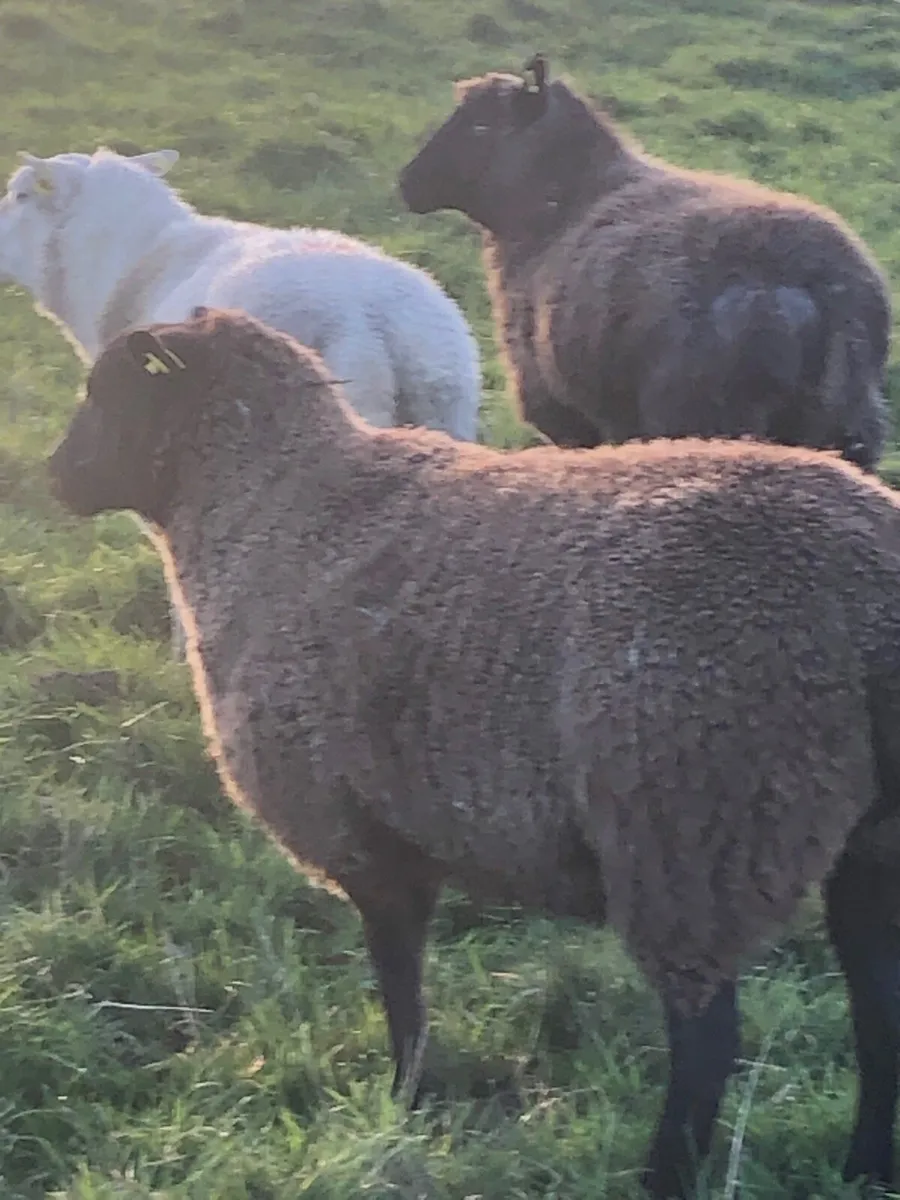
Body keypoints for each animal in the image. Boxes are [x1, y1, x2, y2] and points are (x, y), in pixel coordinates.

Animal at [47, 306, 900, 1198]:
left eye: (105, 394)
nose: (51, 478)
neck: (272, 512)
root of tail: (869, 592)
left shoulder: (363, 832)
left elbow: (399, 981)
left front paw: (404, 1100)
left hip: (695, 833)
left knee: (708, 1042)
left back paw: (663, 1174)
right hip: (867, 842)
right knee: (878, 1012)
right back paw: (866, 1169)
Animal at [398, 55, 892, 470]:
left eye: (481, 125)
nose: (408, 182)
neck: (557, 201)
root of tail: (816, 288)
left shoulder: (569, 417)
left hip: (701, 418)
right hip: (849, 434)